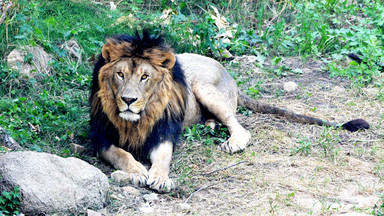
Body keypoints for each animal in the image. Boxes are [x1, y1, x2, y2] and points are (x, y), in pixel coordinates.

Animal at [90, 30, 368, 192]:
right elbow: (121, 154)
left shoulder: (164, 133)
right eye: (120, 74)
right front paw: (137, 171)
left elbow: (162, 159)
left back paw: (231, 142)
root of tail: (230, 75)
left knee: (240, 127)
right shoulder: (101, 138)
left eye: (145, 76)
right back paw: (210, 126)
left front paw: (159, 177)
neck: (136, 120)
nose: (128, 99)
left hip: (204, 87)